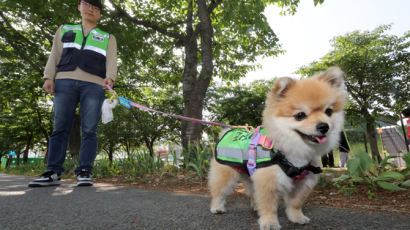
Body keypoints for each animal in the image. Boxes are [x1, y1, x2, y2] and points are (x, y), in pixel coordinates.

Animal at [208, 66, 346, 230]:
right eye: (300, 115)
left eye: (328, 112)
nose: (324, 126)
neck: (294, 152)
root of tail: (227, 131)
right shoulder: (268, 181)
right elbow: (269, 206)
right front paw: (270, 222)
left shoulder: (303, 181)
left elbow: (295, 203)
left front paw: (296, 217)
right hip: (226, 173)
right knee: (219, 192)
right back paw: (217, 207)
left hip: (249, 175)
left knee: (253, 193)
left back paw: (255, 207)